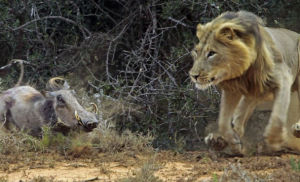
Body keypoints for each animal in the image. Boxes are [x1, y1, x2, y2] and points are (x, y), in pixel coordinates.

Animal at [189, 10, 300, 154]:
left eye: (212, 53)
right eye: (196, 52)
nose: (193, 76)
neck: (243, 73)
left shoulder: (283, 77)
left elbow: (278, 115)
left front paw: (274, 141)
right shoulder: (232, 89)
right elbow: (223, 121)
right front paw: (233, 143)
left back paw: (296, 130)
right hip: (256, 92)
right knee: (240, 115)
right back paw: (218, 140)